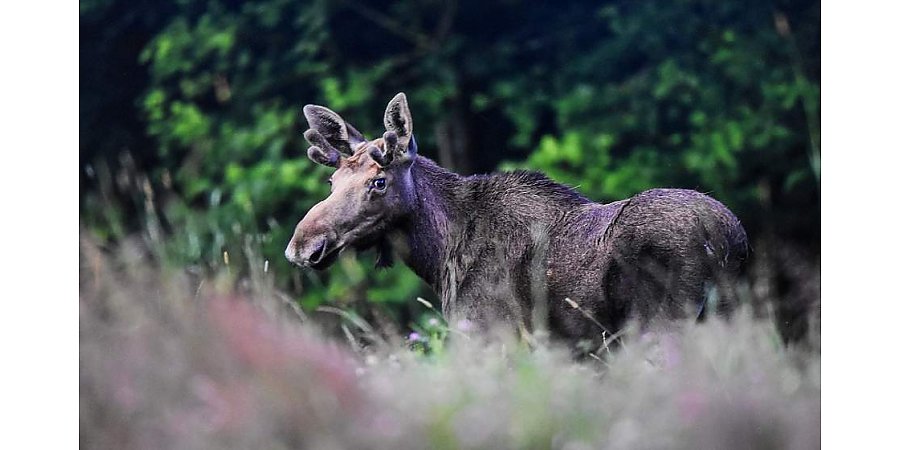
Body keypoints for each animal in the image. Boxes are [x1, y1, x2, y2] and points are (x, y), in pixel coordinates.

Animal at [284, 91, 748, 344]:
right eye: (332, 182)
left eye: (378, 182)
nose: (302, 246)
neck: (439, 255)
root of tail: (732, 240)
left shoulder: (490, 331)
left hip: (665, 321)